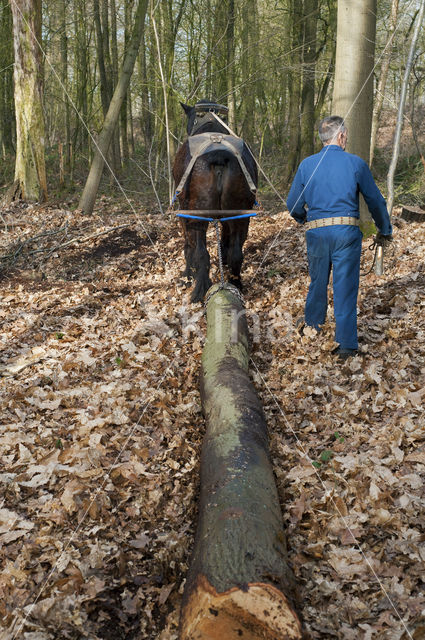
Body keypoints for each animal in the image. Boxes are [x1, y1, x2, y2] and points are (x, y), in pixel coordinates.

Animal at [172, 99, 258, 302]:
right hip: (240, 216)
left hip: (198, 217)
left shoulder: (184, 212)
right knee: (236, 253)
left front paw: (187, 274)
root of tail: (218, 155)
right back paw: (235, 283)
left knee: (201, 254)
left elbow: (189, 247)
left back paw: (199, 289)